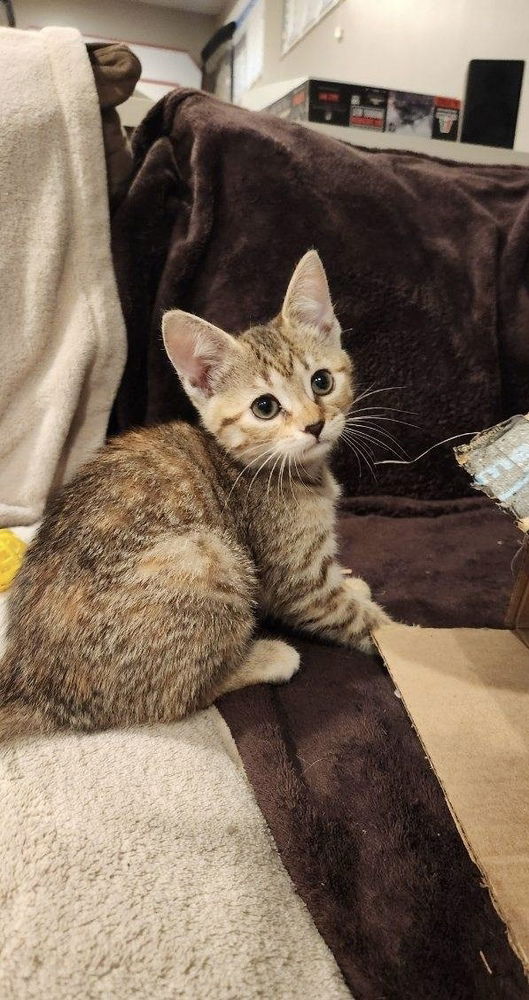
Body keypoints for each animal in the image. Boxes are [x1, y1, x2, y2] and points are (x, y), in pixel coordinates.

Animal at [0, 250, 388, 736]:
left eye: (322, 382)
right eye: (265, 407)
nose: (315, 425)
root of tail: (31, 685)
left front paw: (354, 585)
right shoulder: (295, 575)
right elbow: (349, 614)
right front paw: (394, 640)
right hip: (206, 553)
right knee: (175, 697)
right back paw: (267, 656)